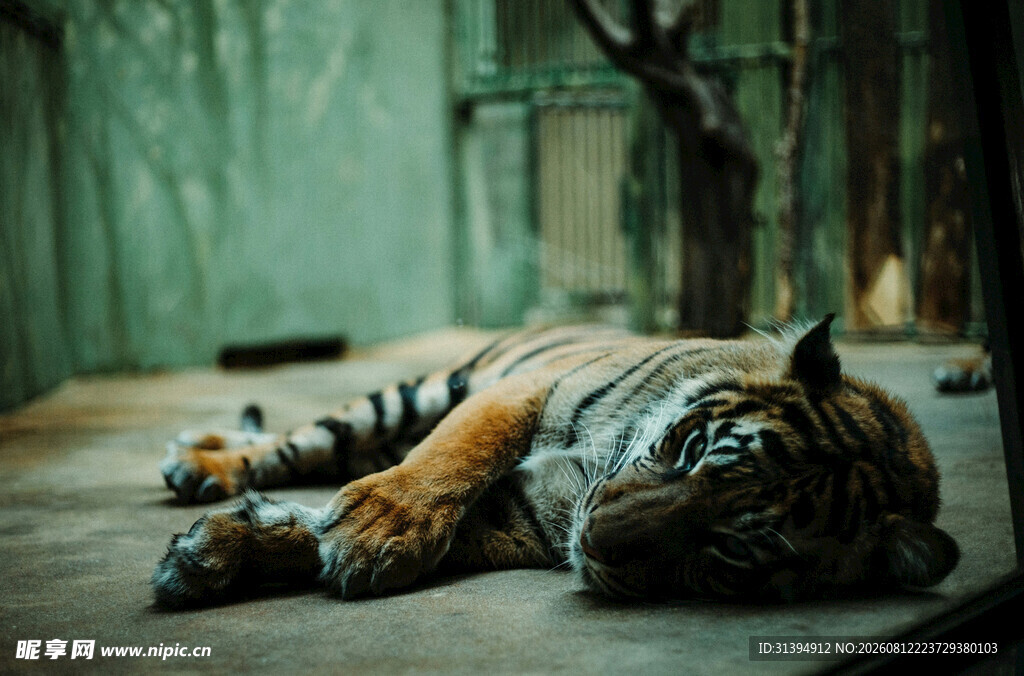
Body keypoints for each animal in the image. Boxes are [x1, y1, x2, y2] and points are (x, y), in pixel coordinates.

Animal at [153, 316, 959, 607]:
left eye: (733, 550)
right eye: (692, 449)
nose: (594, 538)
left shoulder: (530, 518)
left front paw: (217, 553)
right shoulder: (519, 391)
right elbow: (451, 456)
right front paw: (378, 528)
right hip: (416, 393)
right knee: (299, 439)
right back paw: (199, 463)